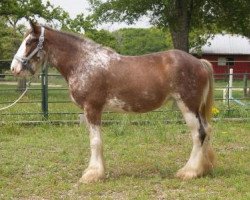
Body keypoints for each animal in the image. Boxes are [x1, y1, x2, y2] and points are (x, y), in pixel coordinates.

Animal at [10, 21, 215, 183]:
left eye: (29, 42)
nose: (14, 68)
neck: (84, 62)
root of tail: (200, 63)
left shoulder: (92, 108)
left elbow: (95, 142)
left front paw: (92, 174)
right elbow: (98, 141)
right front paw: (98, 171)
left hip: (188, 106)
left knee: (199, 134)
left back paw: (189, 172)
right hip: (197, 109)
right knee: (206, 131)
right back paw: (203, 169)